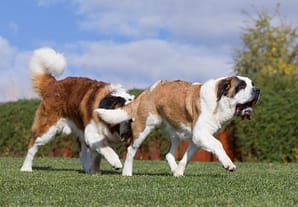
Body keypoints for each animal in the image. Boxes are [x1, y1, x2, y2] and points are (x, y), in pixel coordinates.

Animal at [96, 77, 260, 175]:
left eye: (252, 84)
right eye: (242, 86)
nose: (257, 89)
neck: (219, 101)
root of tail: (149, 90)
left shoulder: (198, 139)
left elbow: (187, 156)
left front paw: (179, 171)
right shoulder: (201, 134)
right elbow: (218, 144)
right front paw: (228, 164)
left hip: (176, 132)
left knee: (169, 153)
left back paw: (174, 170)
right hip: (143, 128)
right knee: (131, 149)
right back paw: (127, 172)